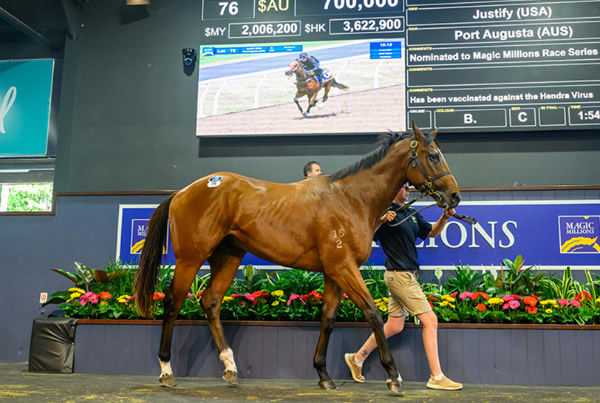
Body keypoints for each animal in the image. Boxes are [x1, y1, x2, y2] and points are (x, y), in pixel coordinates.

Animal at [135, 122, 460, 394]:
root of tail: (182, 192)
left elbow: (328, 318)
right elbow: (372, 313)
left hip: (228, 256)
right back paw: (166, 371)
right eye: (433, 155)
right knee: (173, 303)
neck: (350, 199)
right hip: (190, 258)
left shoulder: (334, 271)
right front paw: (394, 377)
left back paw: (230, 367)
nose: (454, 196)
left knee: (211, 302)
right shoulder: (344, 268)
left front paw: (323, 375)